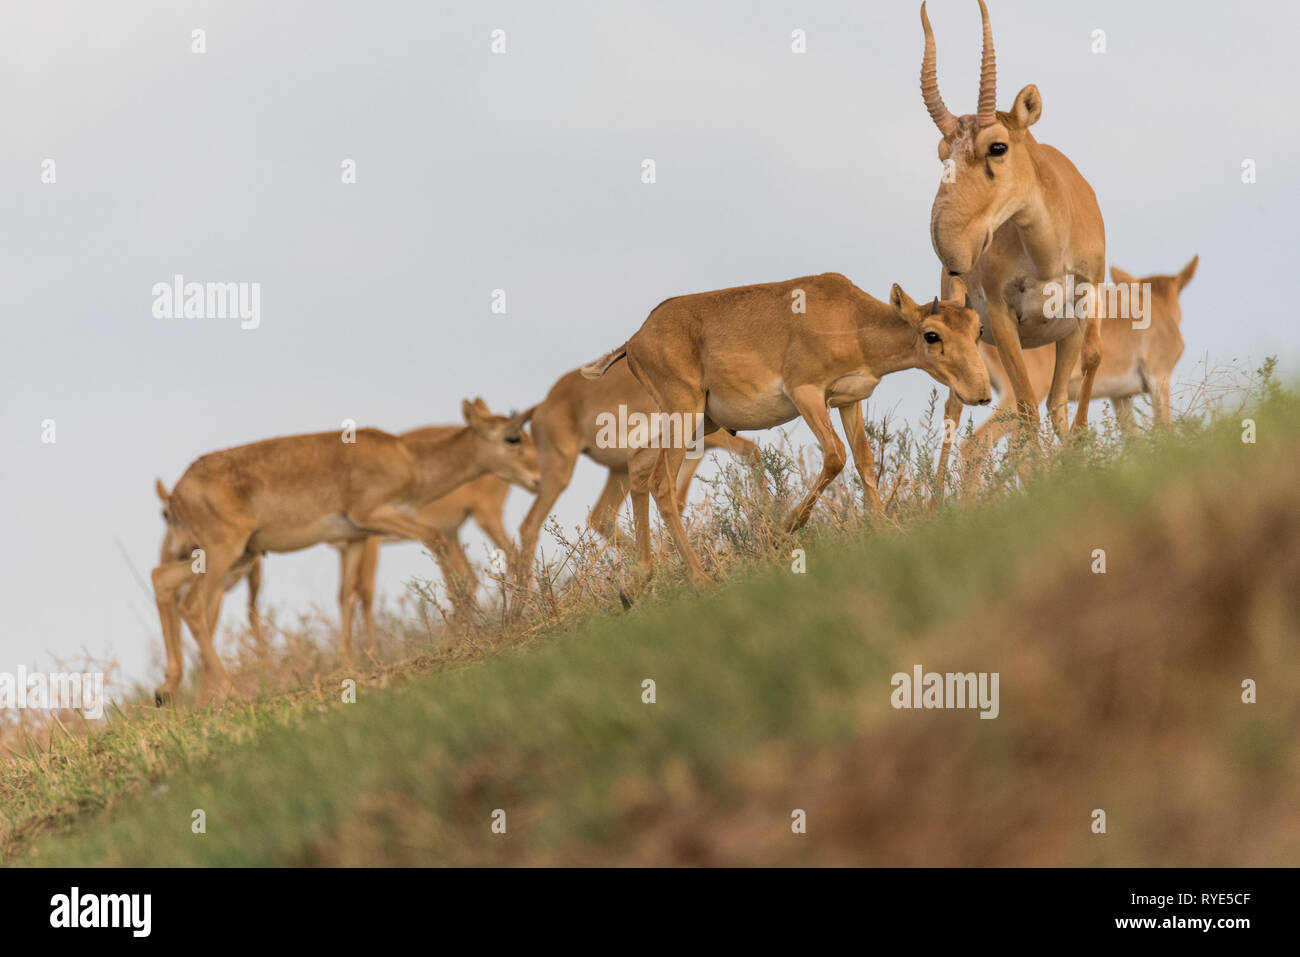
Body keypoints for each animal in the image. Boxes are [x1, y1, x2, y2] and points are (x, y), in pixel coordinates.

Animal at [152, 395, 538, 702]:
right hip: (224, 554)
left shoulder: (354, 539)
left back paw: (166, 689)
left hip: (230, 555)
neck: (409, 459)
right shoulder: (375, 515)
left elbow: (347, 595)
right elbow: (435, 543)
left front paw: (349, 665)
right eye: (513, 436)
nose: (537, 479)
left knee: (162, 580)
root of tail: (176, 494)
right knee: (193, 606)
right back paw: (233, 691)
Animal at [579, 273, 982, 590]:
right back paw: (702, 581)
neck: (848, 315)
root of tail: (634, 341)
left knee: (639, 469)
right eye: (932, 334)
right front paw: (779, 534)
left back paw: (636, 587)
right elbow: (836, 456)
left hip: (698, 422)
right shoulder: (806, 394)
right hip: (684, 414)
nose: (980, 392)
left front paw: (884, 537)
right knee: (662, 484)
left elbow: (865, 463)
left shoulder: (848, 401)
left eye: (977, 328)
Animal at [925, 0, 1107, 481]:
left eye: (998, 146)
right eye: (942, 152)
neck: (1046, 259)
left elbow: (1081, 375)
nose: (951, 246)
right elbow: (1026, 405)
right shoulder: (1003, 320)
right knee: (954, 413)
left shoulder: (1085, 304)